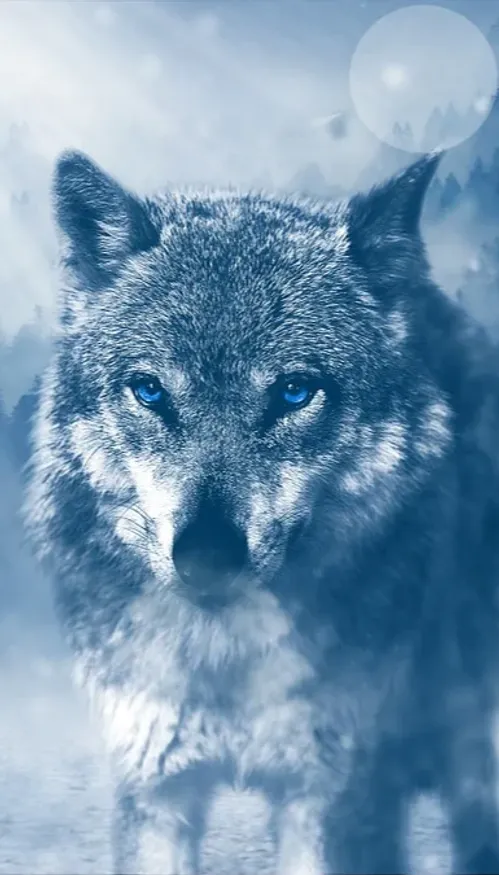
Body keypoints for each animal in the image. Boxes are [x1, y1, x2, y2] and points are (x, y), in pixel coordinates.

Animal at [24, 147, 499, 874]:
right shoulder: (156, 787)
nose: (207, 555)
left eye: (295, 391)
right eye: (150, 390)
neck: (226, 661)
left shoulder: (331, 798)